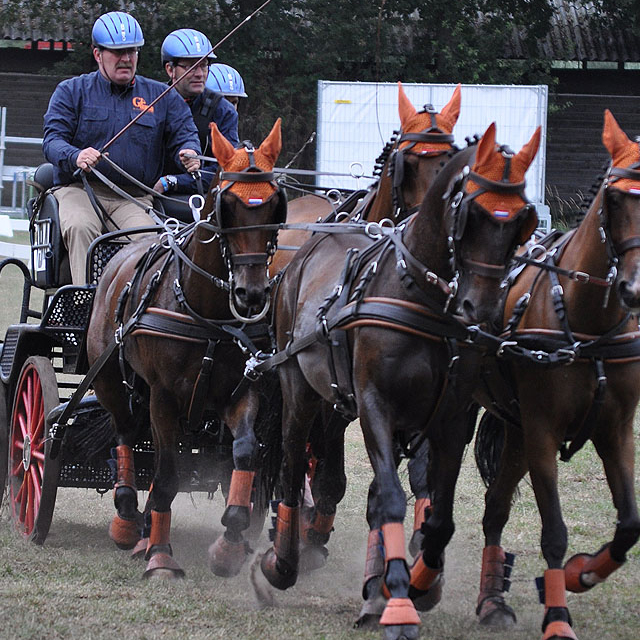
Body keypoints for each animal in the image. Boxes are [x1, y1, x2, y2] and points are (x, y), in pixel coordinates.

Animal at [86, 120, 286, 580]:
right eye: (226, 205)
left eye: (274, 206)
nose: (251, 294)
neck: (205, 313)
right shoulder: (163, 398)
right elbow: (167, 477)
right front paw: (161, 556)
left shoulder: (240, 391)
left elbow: (245, 453)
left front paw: (229, 545)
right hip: (111, 383)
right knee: (125, 434)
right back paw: (128, 521)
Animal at [258, 121, 544, 640]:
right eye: (467, 210)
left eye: (520, 220)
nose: (482, 307)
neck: (418, 298)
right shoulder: (374, 406)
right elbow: (382, 494)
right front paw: (389, 598)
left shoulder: (450, 416)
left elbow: (433, 508)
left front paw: (415, 581)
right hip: (300, 387)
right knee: (291, 459)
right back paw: (284, 560)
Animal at [470, 107, 640, 636]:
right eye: (615, 197)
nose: (633, 287)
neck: (588, 330)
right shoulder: (544, 431)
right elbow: (554, 533)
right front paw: (558, 614)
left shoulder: (616, 430)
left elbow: (629, 524)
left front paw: (580, 574)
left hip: (515, 427)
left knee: (495, 508)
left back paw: (491, 600)